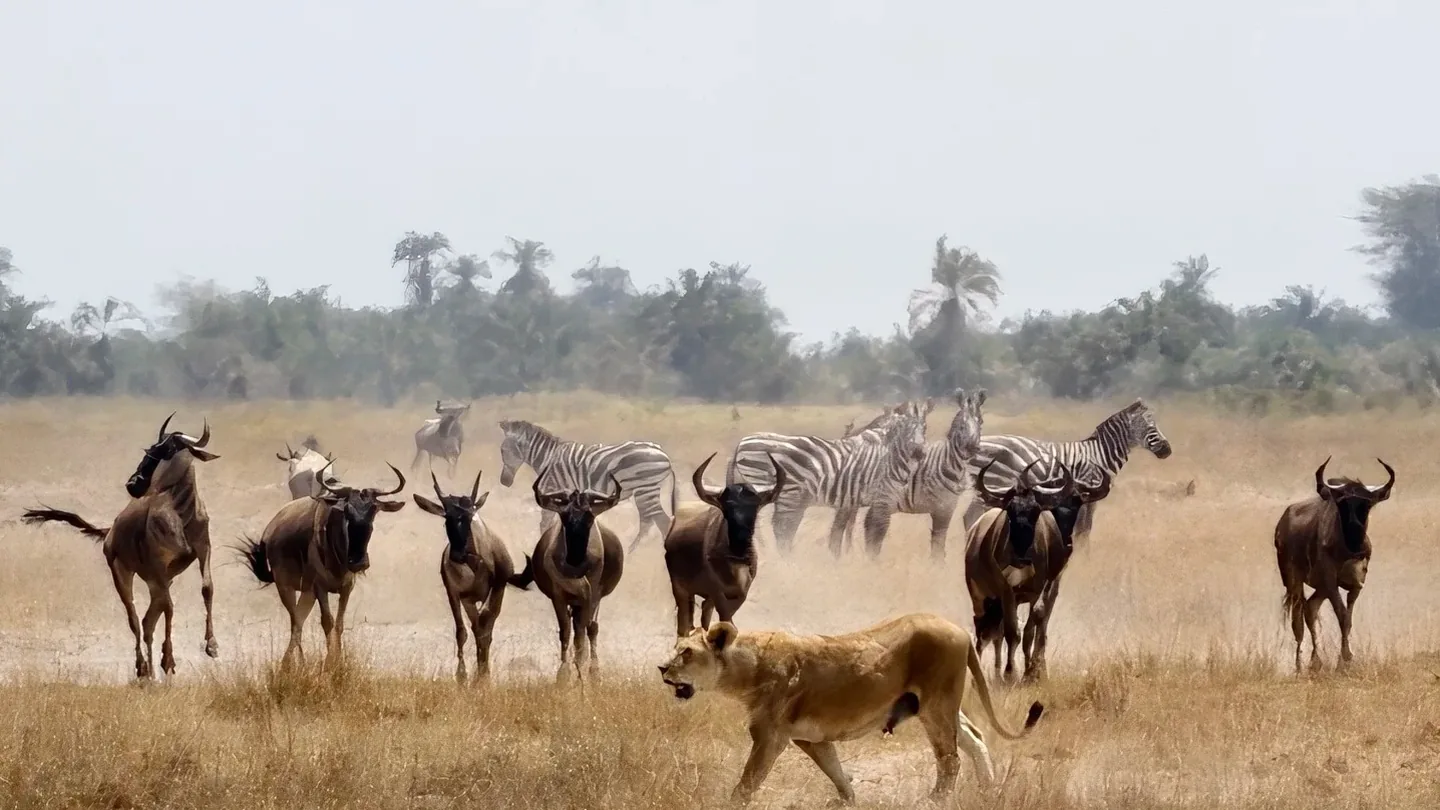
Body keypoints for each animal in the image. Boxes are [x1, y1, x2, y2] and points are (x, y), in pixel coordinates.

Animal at [496, 419, 677, 553]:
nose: (504, 482)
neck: (548, 458)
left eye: (503, 450)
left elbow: (545, 524)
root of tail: (664, 454)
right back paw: (631, 552)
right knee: (651, 521)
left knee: (661, 521)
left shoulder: (553, 491)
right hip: (646, 490)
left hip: (645, 489)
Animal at [657, 612, 1044, 804]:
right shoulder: (809, 738)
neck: (744, 665)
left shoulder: (770, 735)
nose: (661, 668)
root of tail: (959, 629)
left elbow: (747, 782)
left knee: (950, 758)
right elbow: (836, 771)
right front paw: (849, 799)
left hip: (937, 704)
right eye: (675, 648)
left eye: (686, 653)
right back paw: (988, 791)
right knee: (975, 739)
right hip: (940, 707)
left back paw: (935, 800)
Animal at [726, 409, 929, 557]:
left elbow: (845, 526)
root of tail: (741, 443)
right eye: (907, 432)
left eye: (925, 430)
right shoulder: (878, 498)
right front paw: (865, 558)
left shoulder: (852, 498)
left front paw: (841, 554)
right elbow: (872, 529)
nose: (920, 453)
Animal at [830, 388, 988, 559]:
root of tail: (856, 430)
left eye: (980, 422)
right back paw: (837, 557)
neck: (948, 465)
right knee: (840, 526)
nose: (972, 448)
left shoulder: (947, 510)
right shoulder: (939, 509)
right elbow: (938, 548)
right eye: (961, 425)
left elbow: (938, 547)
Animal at [960, 398, 1172, 545]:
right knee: (971, 516)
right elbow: (1083, 529)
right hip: (996, 483)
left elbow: (1083, 528)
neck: (1099, 455)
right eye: (1151, 427)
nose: (1167, 451)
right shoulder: (1087, 491)